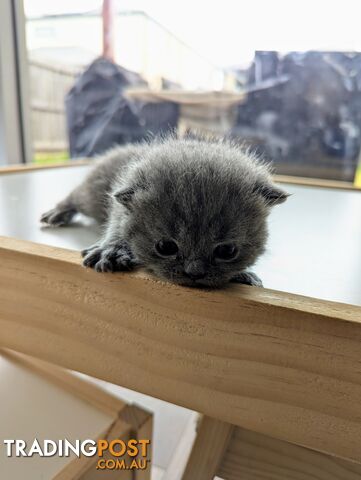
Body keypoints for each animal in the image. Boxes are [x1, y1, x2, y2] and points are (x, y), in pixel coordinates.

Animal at [40, 139, 286, 288]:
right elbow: (117, 228)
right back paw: (58, 212)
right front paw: (112, 250)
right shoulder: (119, 208)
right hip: (91, 196)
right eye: (165, 247)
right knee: (75, 196)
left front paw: (241, 276)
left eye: (227, 251)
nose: (194, 272)